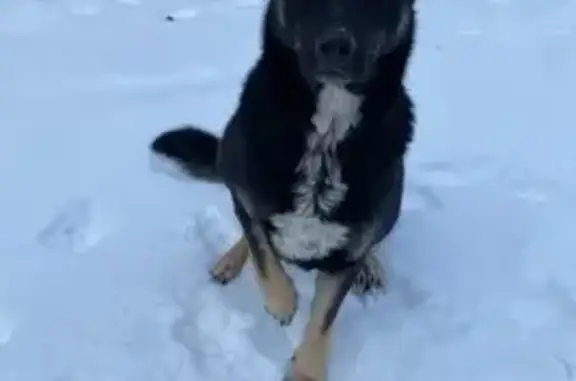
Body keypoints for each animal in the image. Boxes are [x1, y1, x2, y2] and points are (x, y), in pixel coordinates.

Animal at [151, 0, 416, 380]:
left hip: (391, 205)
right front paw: (283, 303)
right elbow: (264, 258)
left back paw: (372, 266)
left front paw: (307, 370)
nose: (336, 45)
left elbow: (323, 319)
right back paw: (229, 261)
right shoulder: (247, 198)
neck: (325, 138)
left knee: (376, 238)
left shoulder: (344, 255)